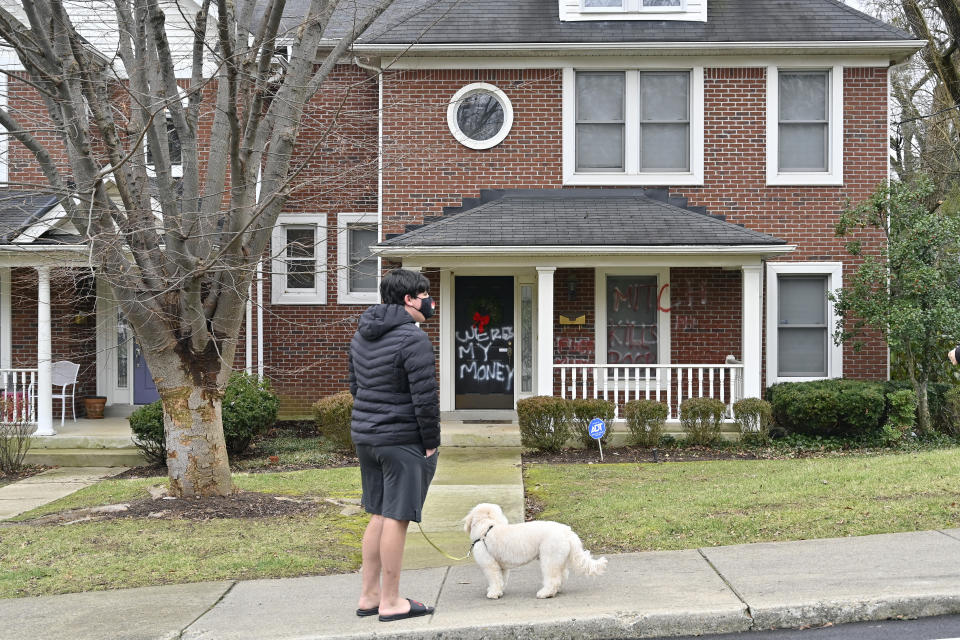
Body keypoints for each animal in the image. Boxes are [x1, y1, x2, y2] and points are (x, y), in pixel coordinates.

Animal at [460, 502, 604, 596]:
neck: (486, 528)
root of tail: (567, 532)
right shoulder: (501, 567)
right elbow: (501, 579)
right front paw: (499, 590)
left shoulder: (490, 565)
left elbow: (494, 579)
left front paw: (493, 593)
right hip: (559, 558)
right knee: (562, 576)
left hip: (549, 559)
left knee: (553, 579)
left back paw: (546, 593)